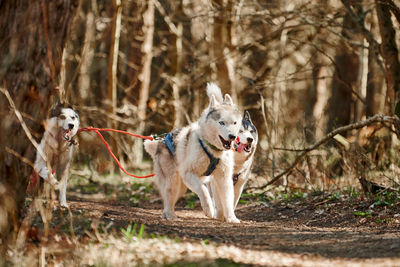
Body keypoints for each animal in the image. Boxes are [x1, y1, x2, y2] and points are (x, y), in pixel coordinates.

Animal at [145, 84, 242, 224]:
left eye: (234, 123)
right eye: (221, 122)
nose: (232, 136)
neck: (212, 149)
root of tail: (160, 141)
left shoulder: (224, 178)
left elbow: (228, 200)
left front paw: (231, 218)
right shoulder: (189, 174)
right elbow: (203, 190)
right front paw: (209, 209)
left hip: (181, 187)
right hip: (173, 181)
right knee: (168, 198)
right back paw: (170, 215)